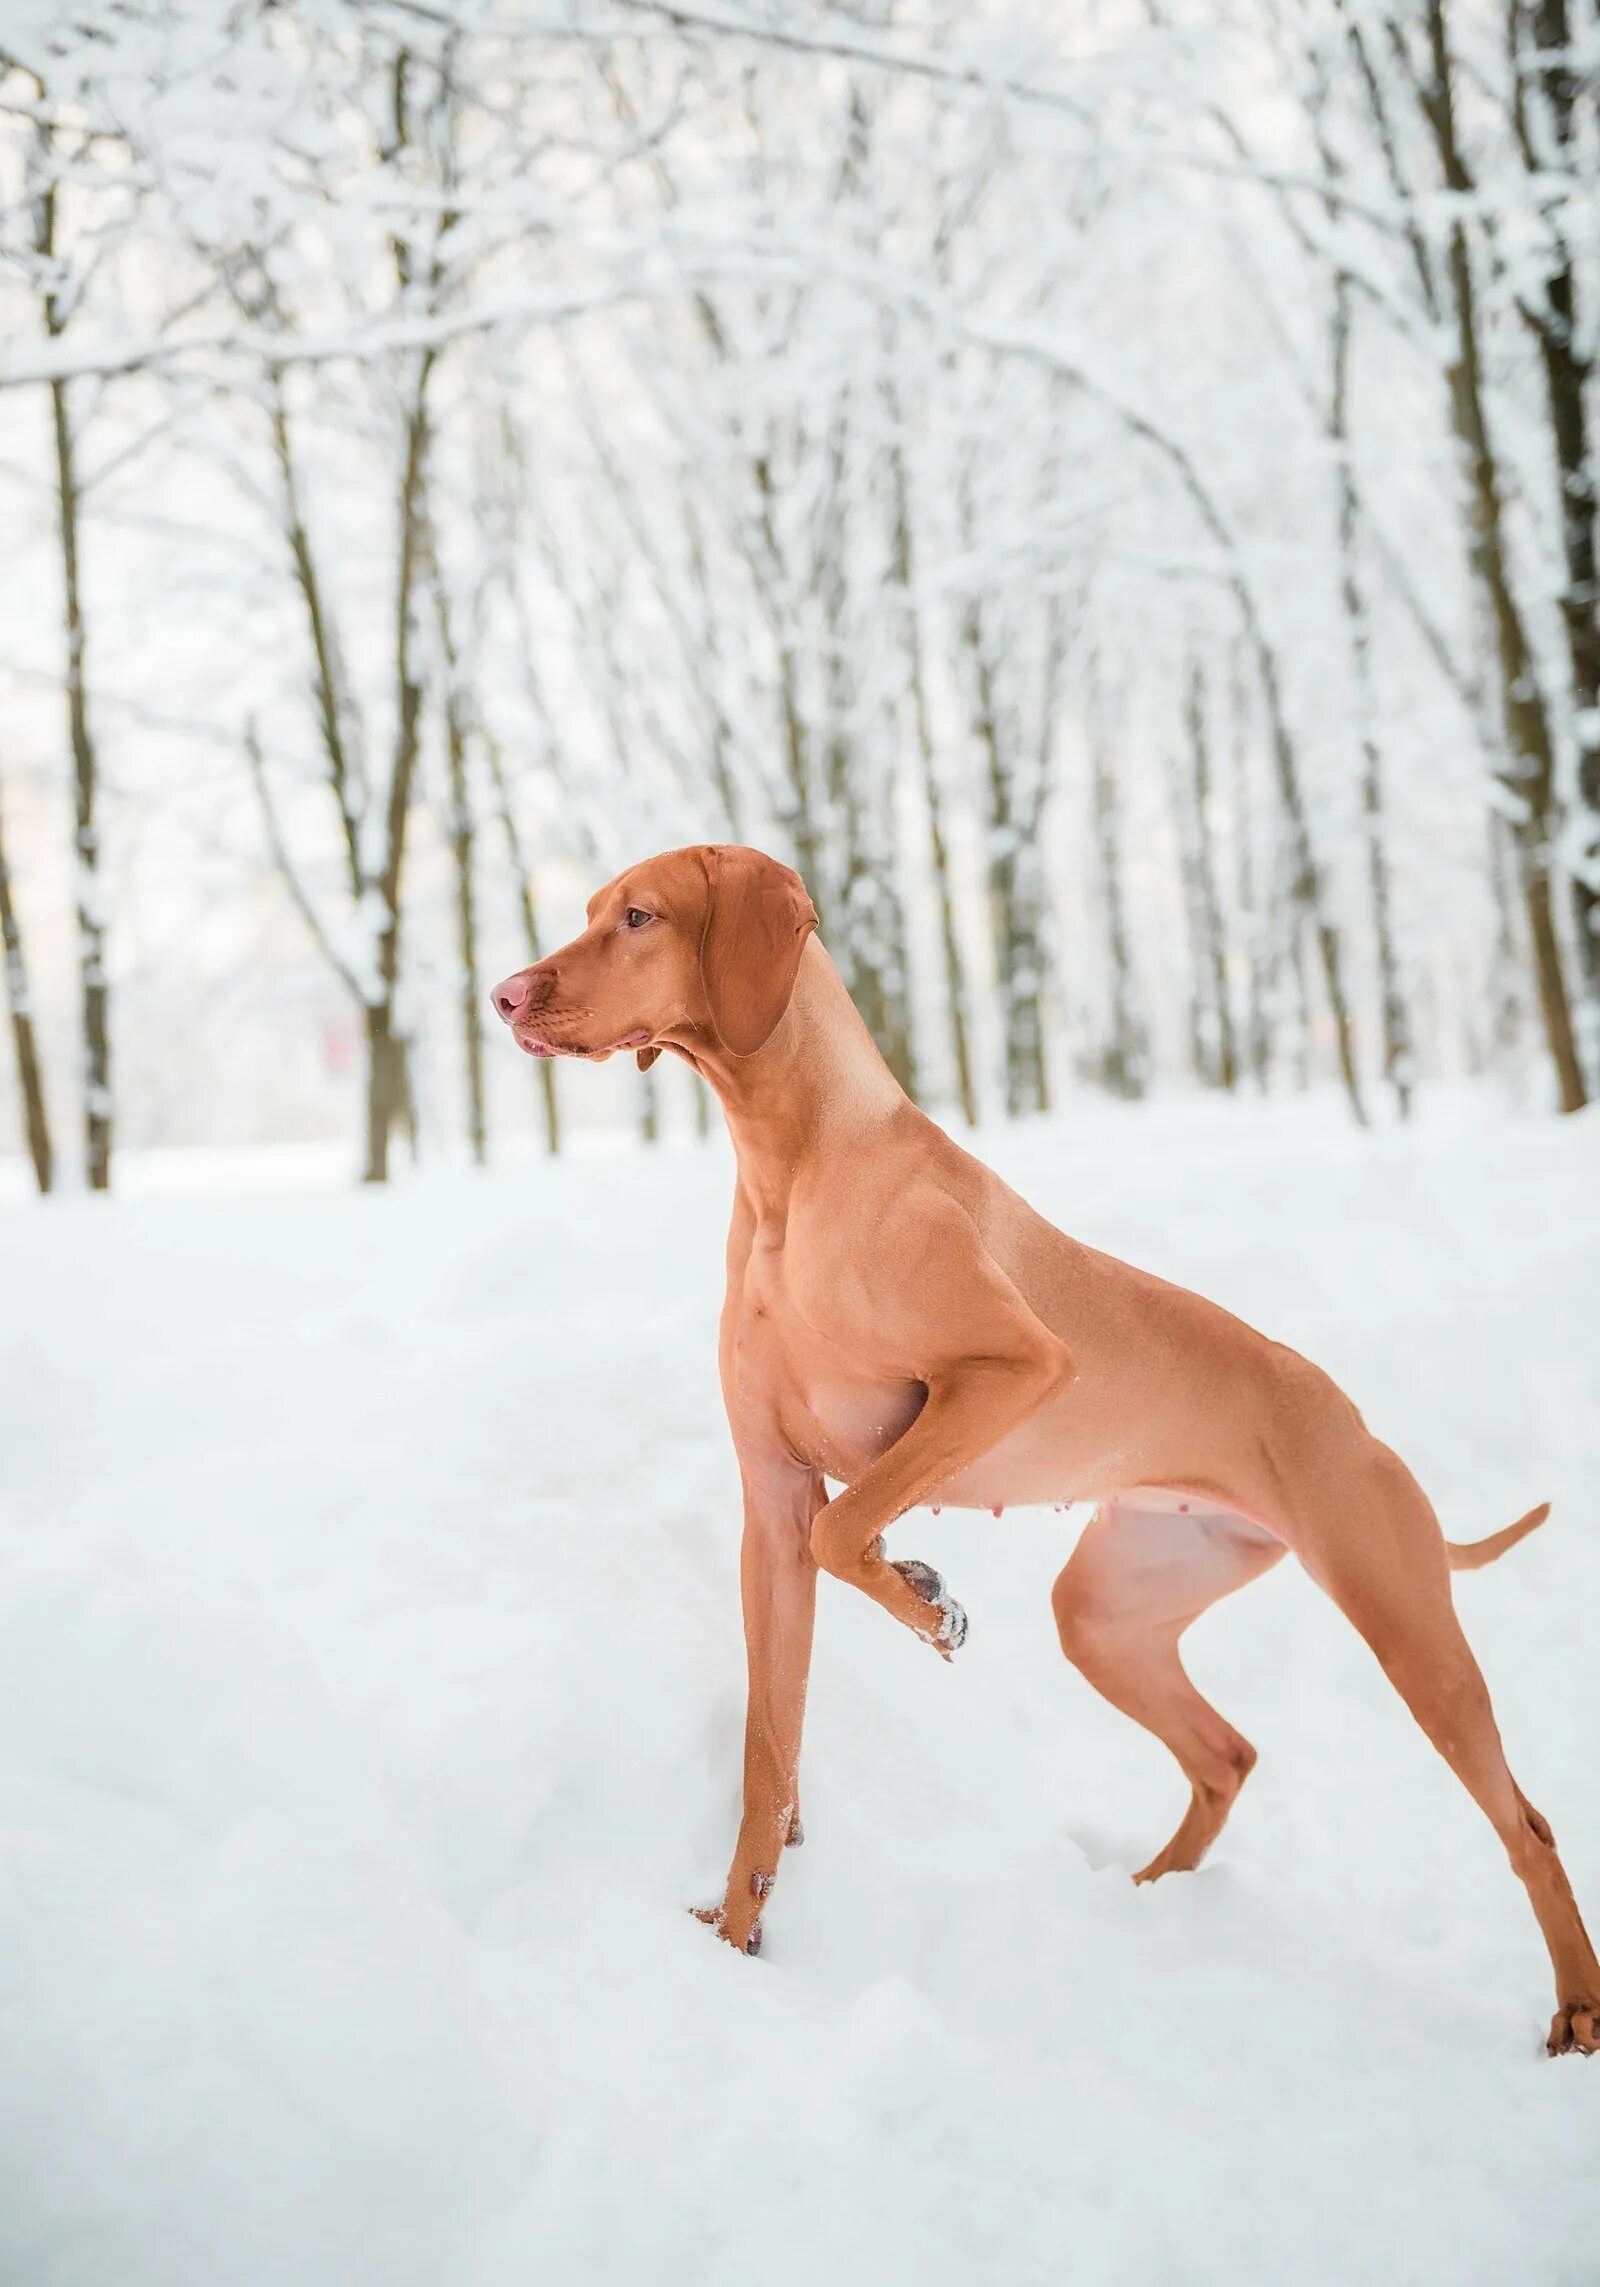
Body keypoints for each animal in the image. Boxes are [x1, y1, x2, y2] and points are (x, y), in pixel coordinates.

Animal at [491, 846, 1600, 2058]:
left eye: (639, 917)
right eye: (591, 911)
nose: (503, 995)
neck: (802, 1167)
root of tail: (1351, 1417)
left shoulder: (1012, 1370)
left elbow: (850, 1523)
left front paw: (929, 1603)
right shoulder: (771, 1512)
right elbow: (767, 1750)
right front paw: (738, 1937)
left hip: (1405, 1625)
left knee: (1528, 1824)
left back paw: (1577, 2008)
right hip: (1109, 1615)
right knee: (1225, 1754)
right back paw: (1148, 1897)